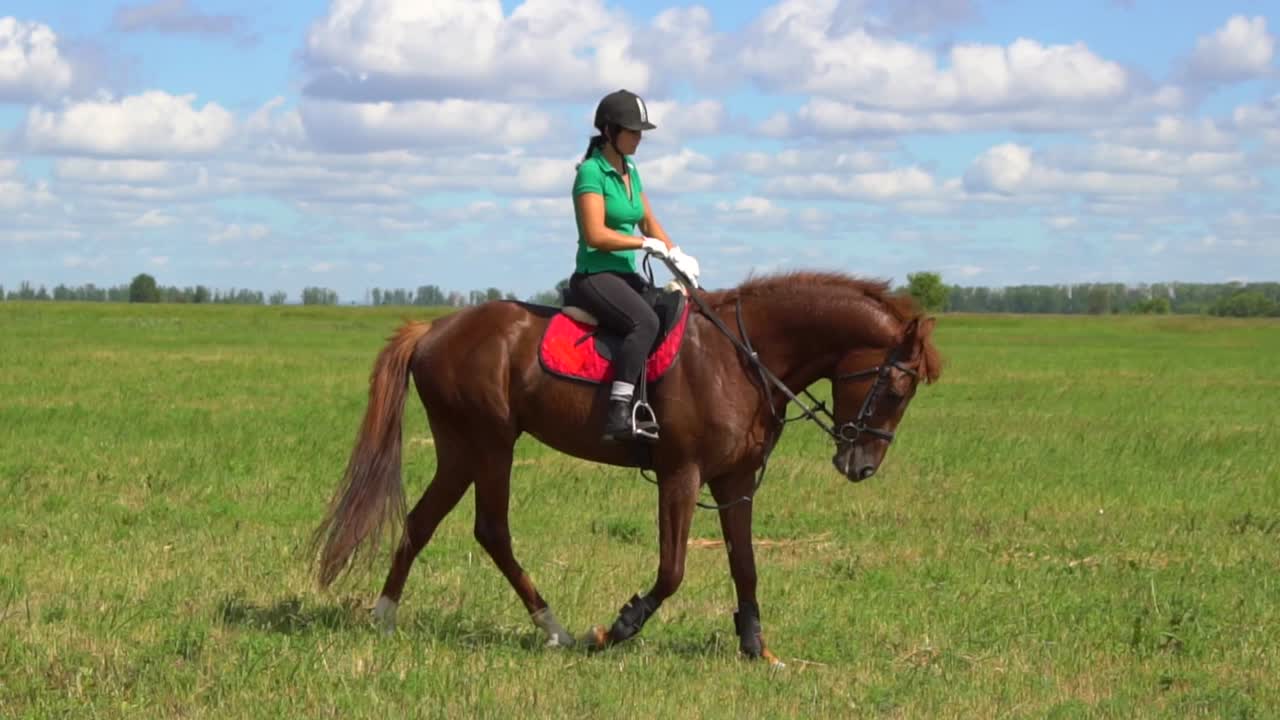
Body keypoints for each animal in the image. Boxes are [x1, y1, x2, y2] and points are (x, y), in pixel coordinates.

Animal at [310, 266, 942, 665]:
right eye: (896, 387)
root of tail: (434, 329)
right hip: (489, 445)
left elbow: (745, 566)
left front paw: (756, 647)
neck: (741, 358)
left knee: (423, 523)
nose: (861, 465)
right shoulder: (681, 475)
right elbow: (672, 570)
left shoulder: (735, 482)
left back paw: (387, 617)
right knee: (490, 530)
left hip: (464, 448)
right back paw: (555, 629)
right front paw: (618, 628)